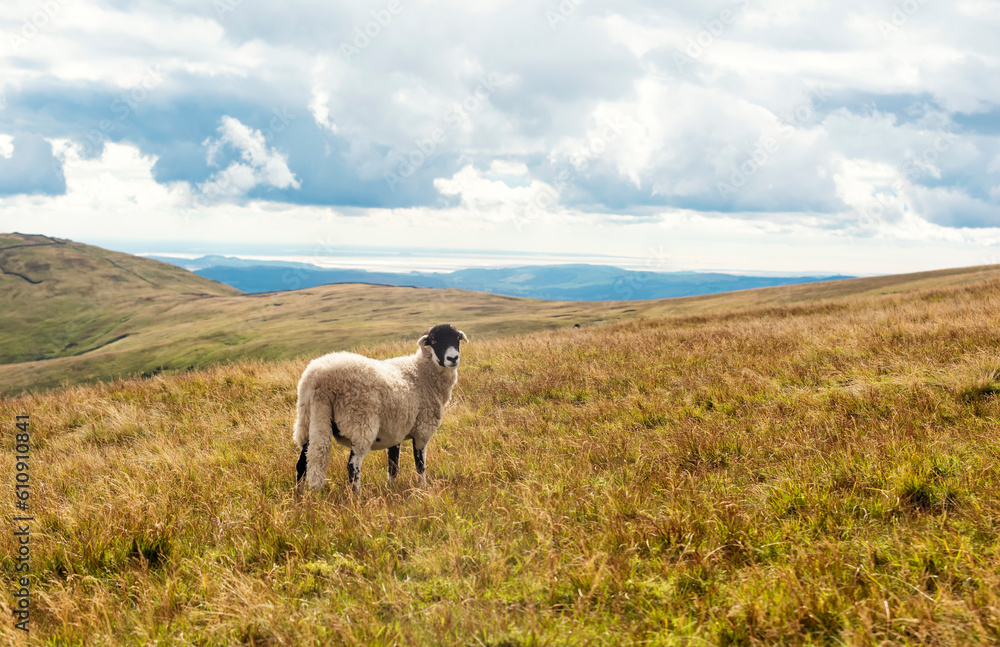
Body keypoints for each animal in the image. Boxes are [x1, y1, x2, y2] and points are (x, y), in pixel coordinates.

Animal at [293, 323, 469, 495]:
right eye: (433, 341)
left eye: (456, 338)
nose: (453, 358)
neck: (422, 372)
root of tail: (320, 381)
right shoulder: (422, 431)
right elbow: (420, 465)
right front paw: (423, 489)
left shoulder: (395, 432)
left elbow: (393, 466)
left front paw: (391, 490)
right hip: (359, 423)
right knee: (352, 466)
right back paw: (357, 497)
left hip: (308, 418)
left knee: (302, 462)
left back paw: (300, 497)